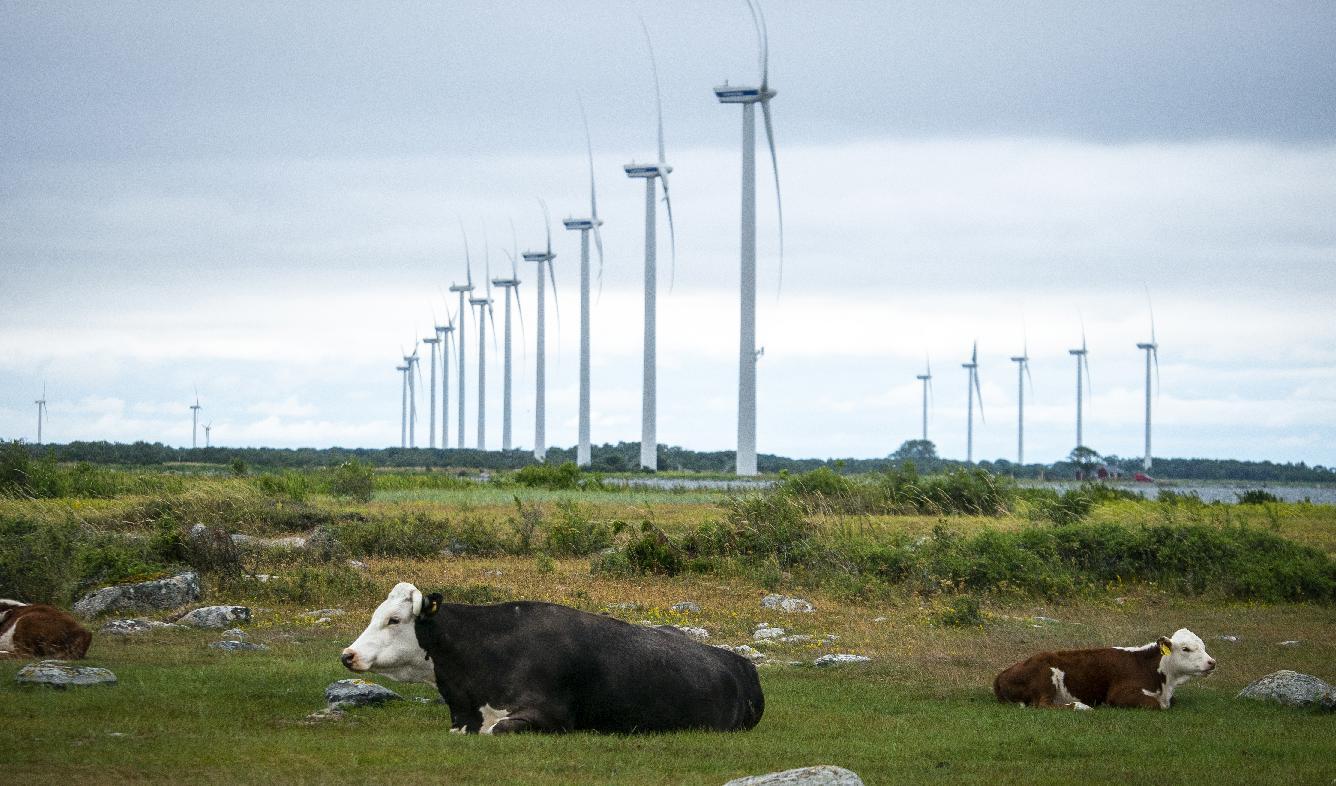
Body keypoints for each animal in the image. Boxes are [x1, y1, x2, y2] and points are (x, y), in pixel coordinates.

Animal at [993, 628, 1223, 711]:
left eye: (1203, 646)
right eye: (1186, 648)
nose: (1212, 662)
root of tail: (1002, 673)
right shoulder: (1119, 694)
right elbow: (1156, 705)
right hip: (1045, 677)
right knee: (1043, 705)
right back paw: (1081, 706)